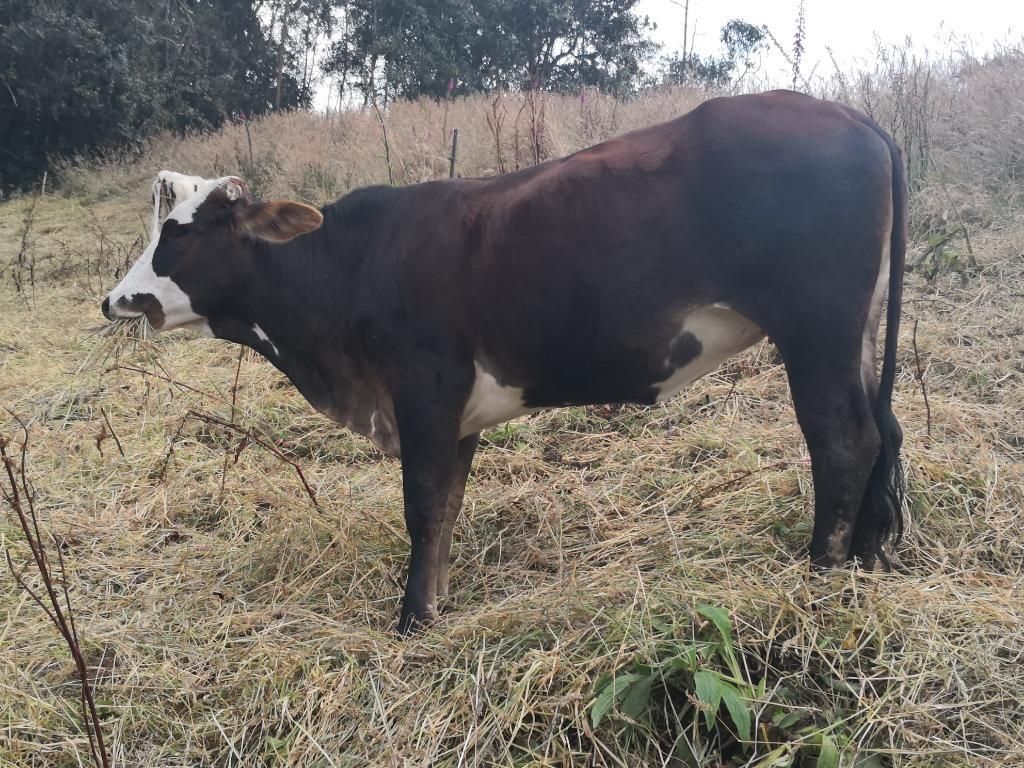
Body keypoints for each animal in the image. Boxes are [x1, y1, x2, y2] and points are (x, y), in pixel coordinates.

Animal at [101, 90, 905, 634]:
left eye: (181, 232)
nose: (117, 299)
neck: (350, 265)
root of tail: (854, 118)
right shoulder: (456, 416)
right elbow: (449, 507)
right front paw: (435, 604)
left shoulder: (424, 394)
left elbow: (423, 507)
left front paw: (411, 621)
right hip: (855, 334)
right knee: (885, 433)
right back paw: (868, 560)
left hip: (816, 331)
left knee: (844, 440)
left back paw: (821, 571)